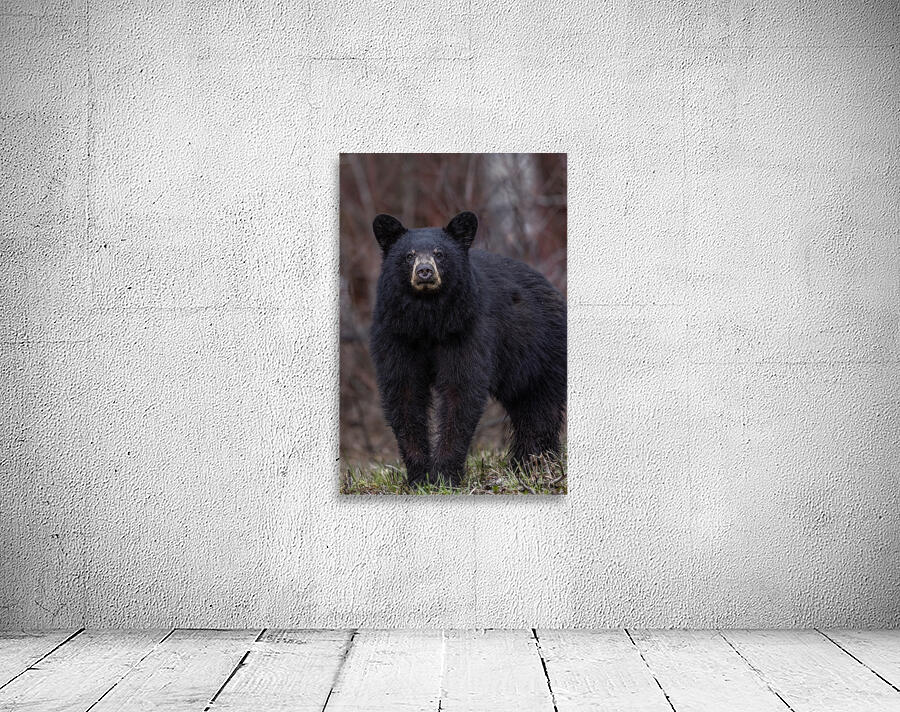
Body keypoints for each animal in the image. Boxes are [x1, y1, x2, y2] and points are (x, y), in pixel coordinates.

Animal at [369, 211, 566, 487]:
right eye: (409, 255)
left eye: (440, 253)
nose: (425, 272)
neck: (427, 318)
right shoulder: (396, 333)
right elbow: (404, 391)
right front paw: (419, 476)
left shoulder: (466, 328)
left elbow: (460, 390)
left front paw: (445, 475)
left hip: (540, 351)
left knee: (539, 407)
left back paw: (534, 462)